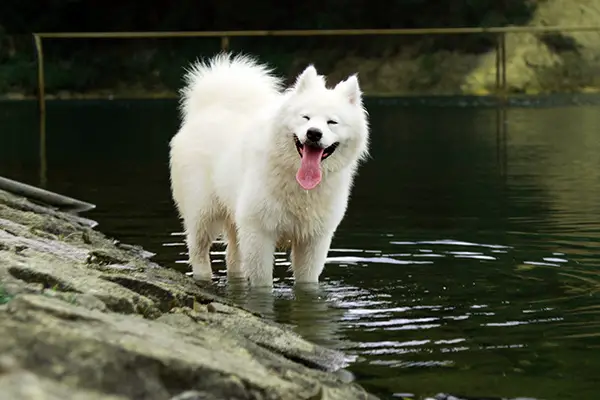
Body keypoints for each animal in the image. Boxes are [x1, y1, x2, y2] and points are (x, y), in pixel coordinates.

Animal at [169, 52, 370, 288]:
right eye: (306, 117)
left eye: (332, 122)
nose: (313, 133)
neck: (297, 183)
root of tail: (210, 106)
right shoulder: (259, 233)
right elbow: (263, 283)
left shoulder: (313, 240)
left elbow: (307, 283)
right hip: (203, 212)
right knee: (198, 249)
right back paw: (203, 277)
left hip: (235, 217)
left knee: (233, 257)